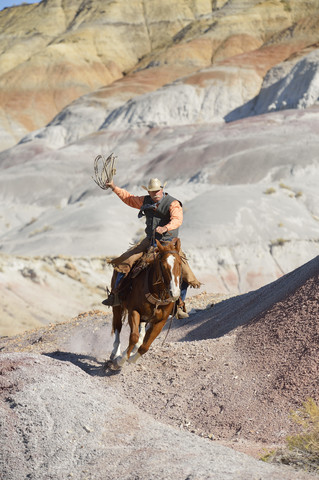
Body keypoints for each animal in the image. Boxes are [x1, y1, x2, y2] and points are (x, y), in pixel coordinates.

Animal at [109, 238, 182, 370]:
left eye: (179, 264)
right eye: (163, 265)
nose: (174, 293)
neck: (157, 294)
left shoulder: (160, 321)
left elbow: (145, 346)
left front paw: (131, 358)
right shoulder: (134, 311)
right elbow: (134, 336)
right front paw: (120, 360)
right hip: (117, 306)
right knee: (117, 326)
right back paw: (115, 353)